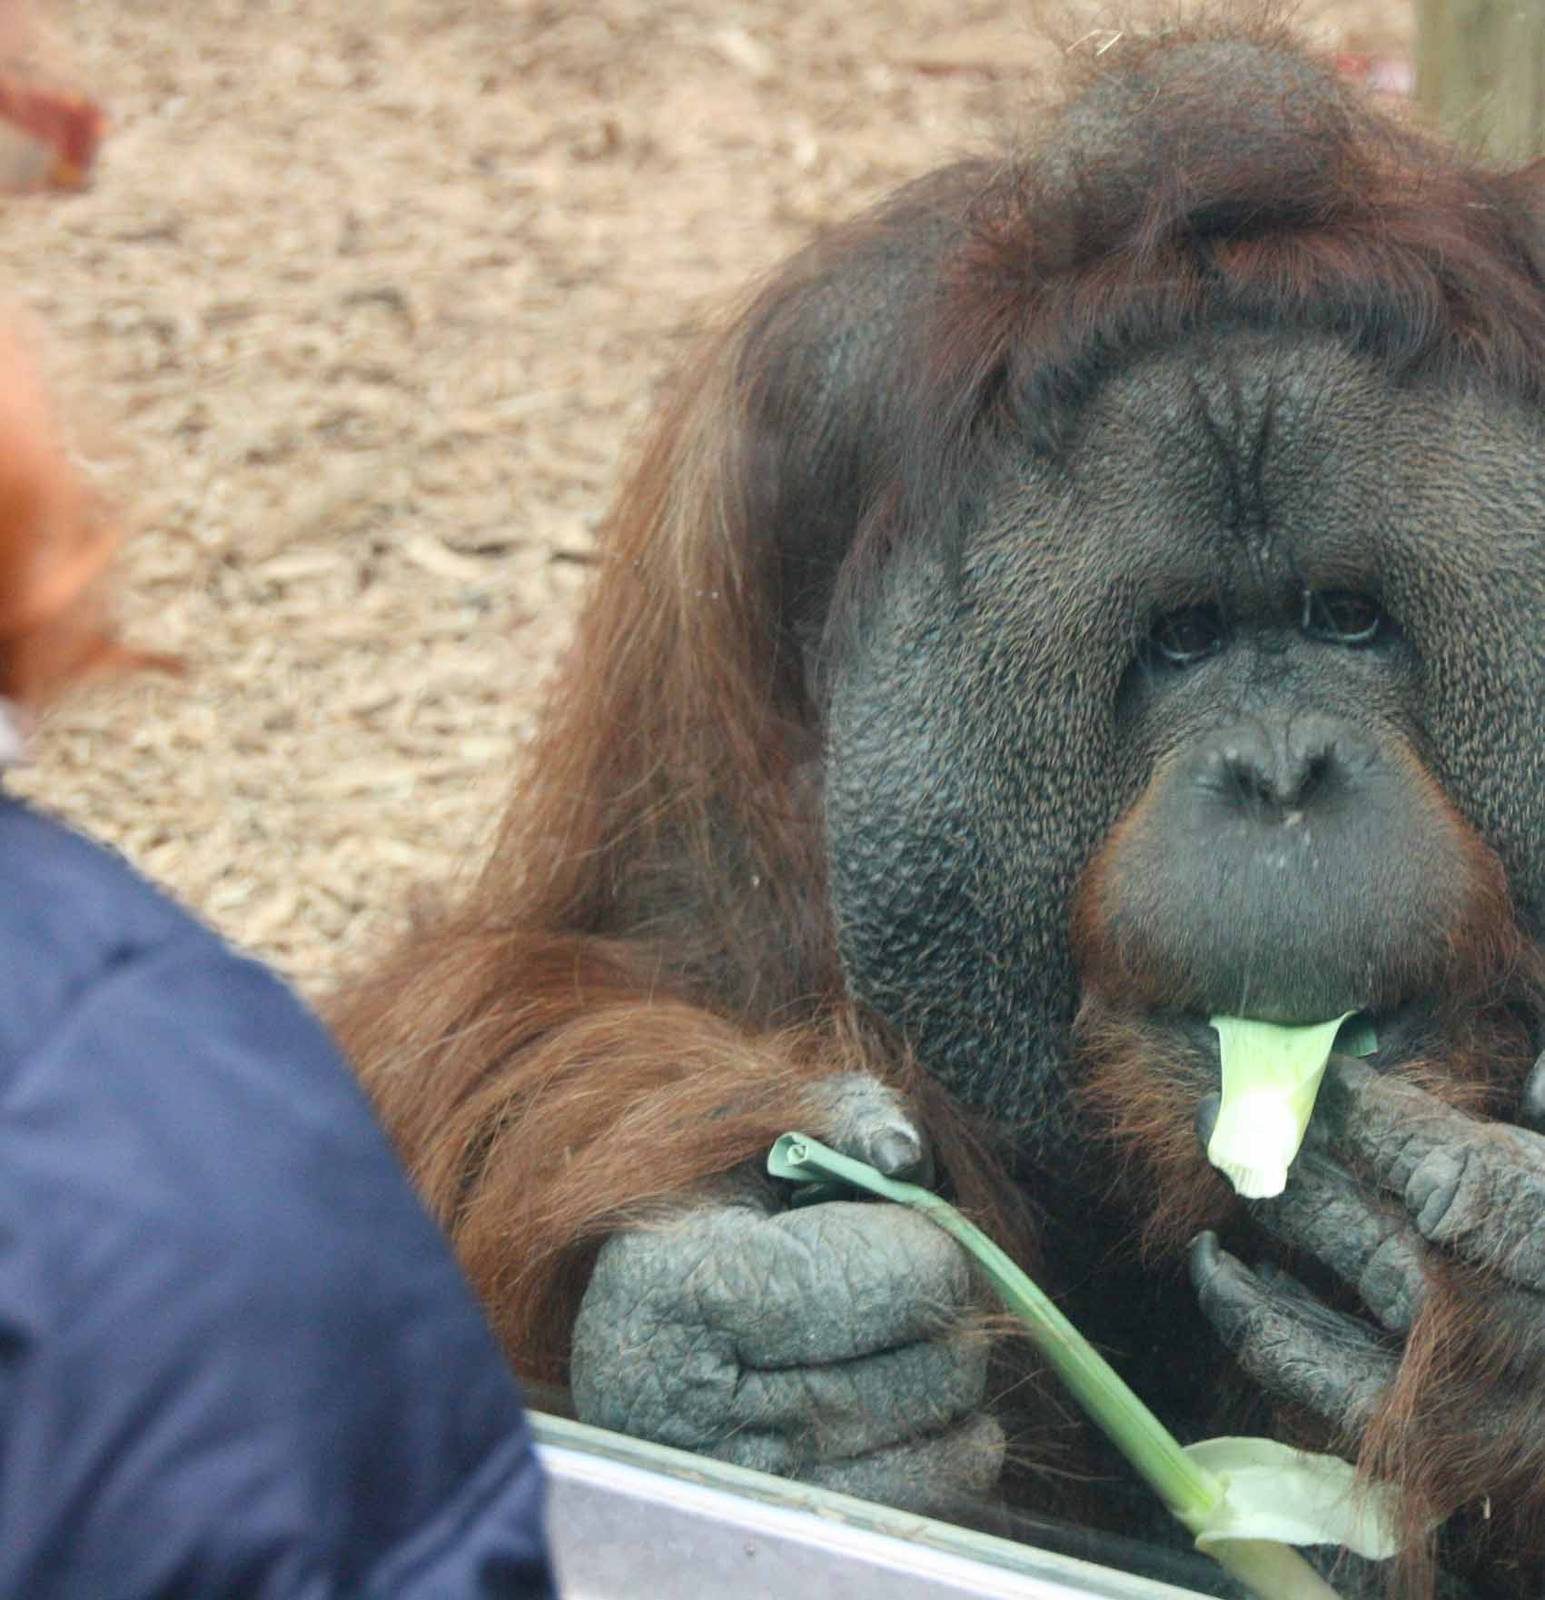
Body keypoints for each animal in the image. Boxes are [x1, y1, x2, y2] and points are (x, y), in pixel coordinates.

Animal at [334, 13, 1545, 1595]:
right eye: (1181, 640)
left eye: (1347, 617)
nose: (1282, 773)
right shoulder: (754, 475)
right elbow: (599, 963)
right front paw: (753, 1342)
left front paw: (1501, 1296)